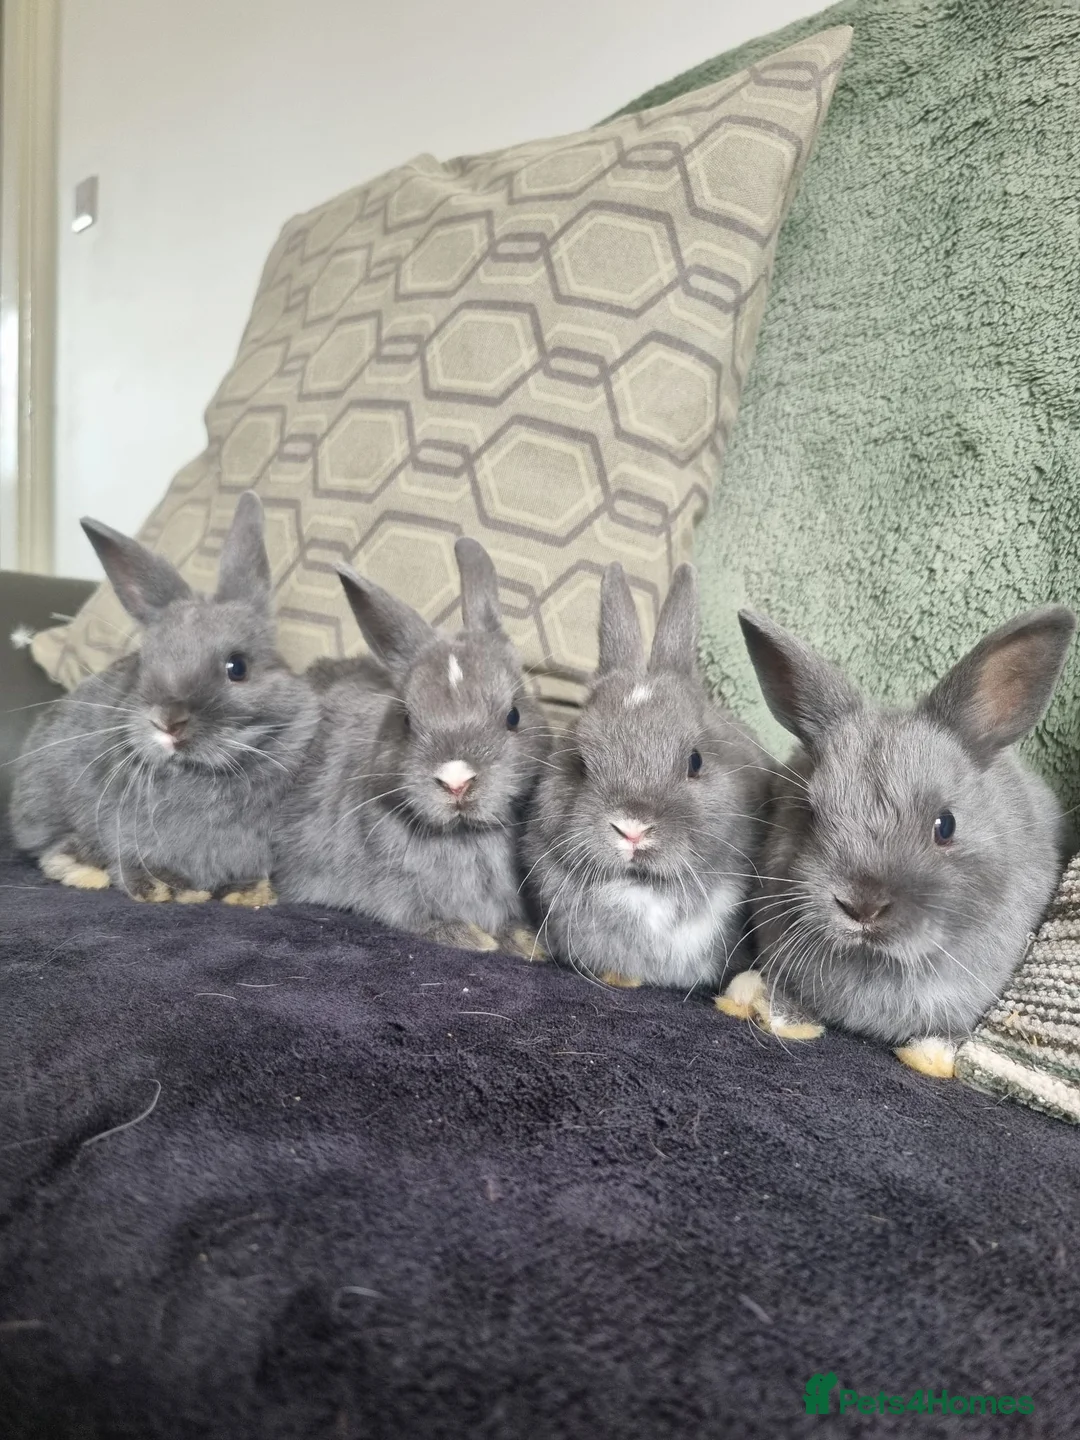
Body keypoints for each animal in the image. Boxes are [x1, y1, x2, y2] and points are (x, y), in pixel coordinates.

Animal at [10, 492, 319, 904]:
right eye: (145, 663)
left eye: (237, 666)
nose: (167, 722)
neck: (203, 777)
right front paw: (166, 888)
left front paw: (249, 893)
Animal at [274, 537, 551, 953]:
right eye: (405, 720)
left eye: (514, 716)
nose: (456, 780)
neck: (464, 835)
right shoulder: (386, 892)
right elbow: (414, 916)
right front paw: (472, 938)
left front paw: (526, 941)